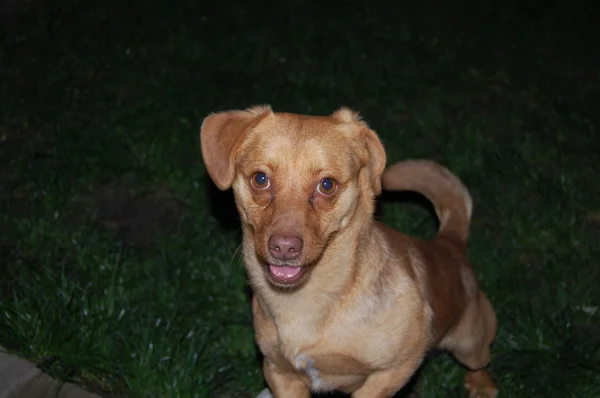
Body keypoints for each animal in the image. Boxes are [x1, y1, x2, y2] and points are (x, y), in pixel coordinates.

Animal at [200, 106, 496, 398]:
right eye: (260, 179)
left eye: (327, 185)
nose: (284, 247)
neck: (304, 302)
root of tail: (448, 243)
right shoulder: (278, 372)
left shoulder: (397, 369)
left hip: (469, 345)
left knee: (481, 361)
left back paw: (482, 385)